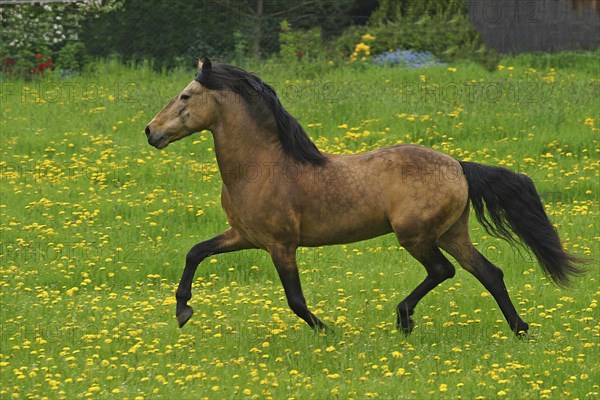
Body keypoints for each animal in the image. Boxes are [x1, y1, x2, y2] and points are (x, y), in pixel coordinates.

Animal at [144, 57, 580, 336]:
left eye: (185, 96)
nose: (150, 131)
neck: (262, 167)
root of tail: (457, 165)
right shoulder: (244, 236)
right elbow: (195, 252)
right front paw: (183, 310)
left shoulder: (281, 245)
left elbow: (295, 300)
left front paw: (328, 331)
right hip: (451, 233)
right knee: (489, 273)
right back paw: (520, 330)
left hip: (416, 235)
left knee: (443, 271)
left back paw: (404, 320)